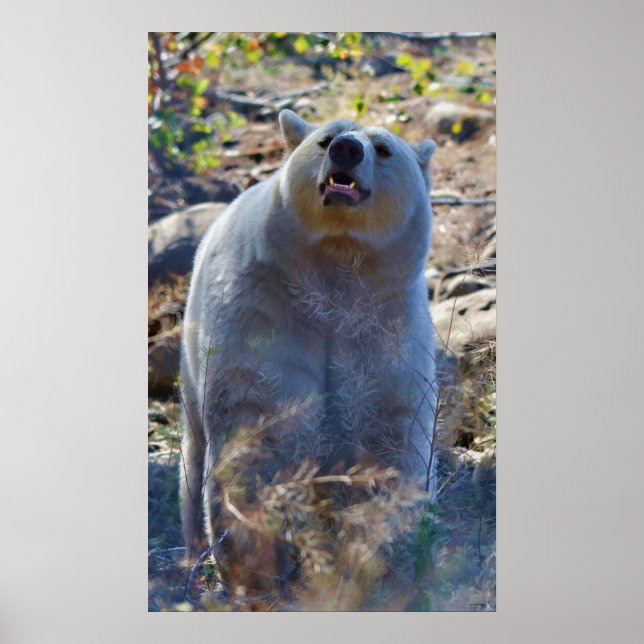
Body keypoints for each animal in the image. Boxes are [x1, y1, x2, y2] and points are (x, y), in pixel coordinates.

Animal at [178, 109, 438, 588]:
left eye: (384, 149)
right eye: (325, 139)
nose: (347, 150)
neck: (333, 270)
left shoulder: (387, 326)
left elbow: (391, 431)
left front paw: (385, 549)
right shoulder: (266, 310)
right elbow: (262, 420)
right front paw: (254, 564)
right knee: (194, 448)